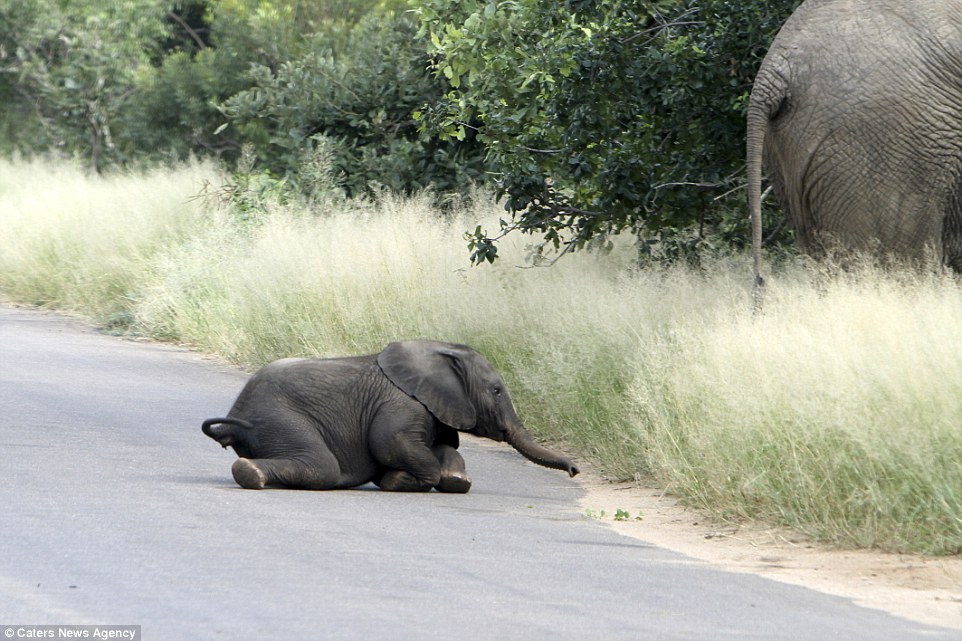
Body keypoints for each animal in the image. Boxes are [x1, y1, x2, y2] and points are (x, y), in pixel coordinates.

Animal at [201, 338, 576, 492]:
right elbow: (391, 444)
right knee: (322, 467)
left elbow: (443, 448)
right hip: (280, 419)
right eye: (496, 391)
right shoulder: (403, 405)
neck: (436, 352)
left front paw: (456, 480)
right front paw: (399, 481)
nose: (575, 470)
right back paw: (250, 473)